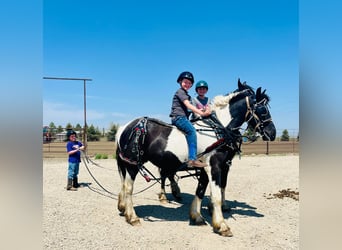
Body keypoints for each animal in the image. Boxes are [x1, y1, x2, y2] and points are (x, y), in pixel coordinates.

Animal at [115, 79, 276, 236]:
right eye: (263, 110)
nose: (272, 133)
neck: (218, 129)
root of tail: (125, 127)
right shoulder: (215, 166)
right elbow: (216, 195)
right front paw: (221, 225)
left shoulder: (209, 167)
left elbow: (201, 191)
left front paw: (197, 216)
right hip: (132, 165)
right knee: (129, 187)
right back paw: (133, 216)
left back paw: (124, 207)